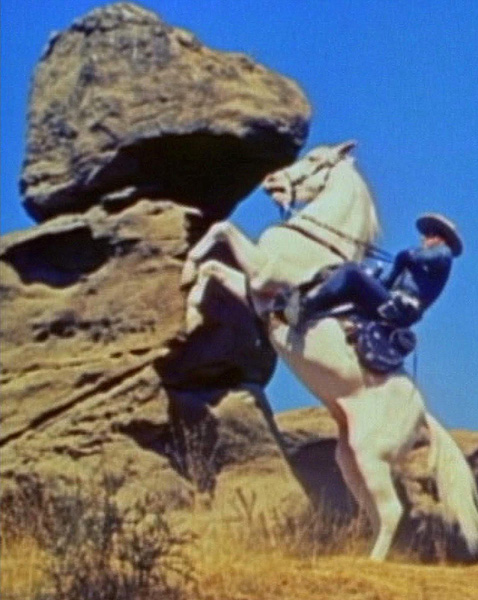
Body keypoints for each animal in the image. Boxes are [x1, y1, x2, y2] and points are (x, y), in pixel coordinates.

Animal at [181, 140, 478, 561]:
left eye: (313, 159)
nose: (271, 181)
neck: (313, 245)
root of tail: (423, 415)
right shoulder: (252, 289)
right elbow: (213, 271)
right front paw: (191, 309)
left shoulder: (263, 271)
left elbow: (221, 231)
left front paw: (188, 270)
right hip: (351, 459)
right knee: (375, 511)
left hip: (370, 457)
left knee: (392, 511)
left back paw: (372, 562)